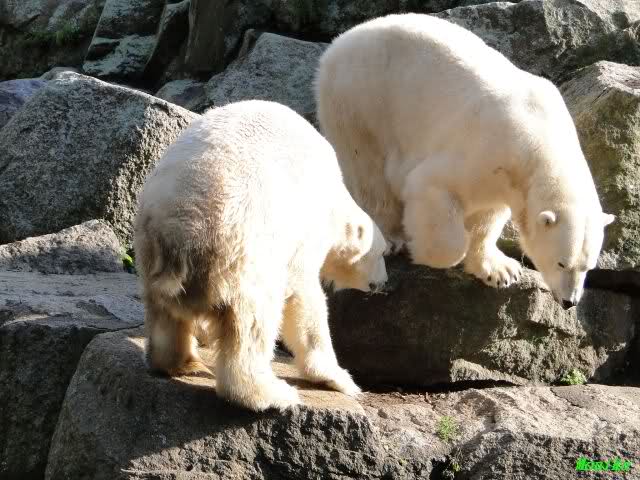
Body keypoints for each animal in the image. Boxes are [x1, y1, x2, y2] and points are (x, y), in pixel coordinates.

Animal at [134, 100, 388, 412]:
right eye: (383, 254)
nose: (385, 282)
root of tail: (179, 234)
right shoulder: (304, 232)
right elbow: (305, 300)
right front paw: (342, 379)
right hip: (241, 252)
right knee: (254, 318)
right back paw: (272, 392)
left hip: (150, 249)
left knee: (165, 315)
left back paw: (183, 363)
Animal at [315, 13, 614, 309]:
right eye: (561, 263)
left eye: (588, 267)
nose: (569, 301)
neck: (540, 135)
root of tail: (337, 45)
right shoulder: (484, 148)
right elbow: (431, 187)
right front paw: (425, 250)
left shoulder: (507, 178)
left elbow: (488, 216)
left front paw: (501, 271)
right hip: (360, 101)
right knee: (368, 172)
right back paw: (390, 237)